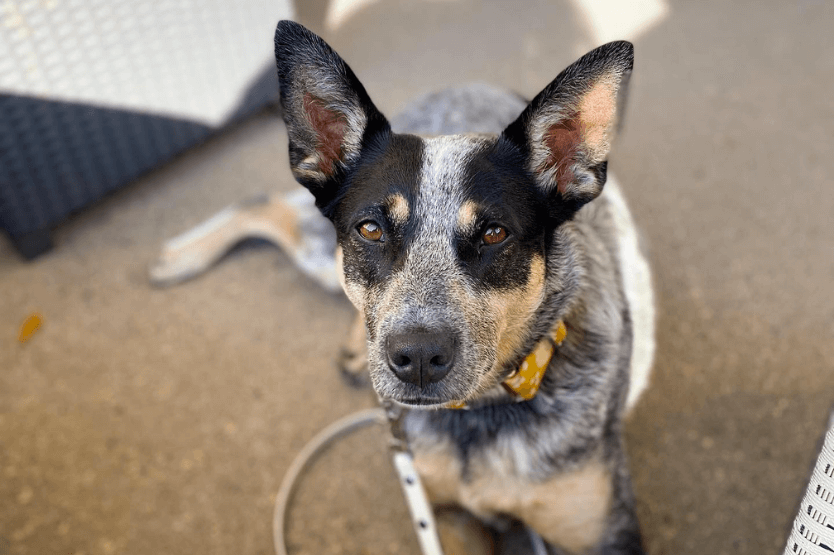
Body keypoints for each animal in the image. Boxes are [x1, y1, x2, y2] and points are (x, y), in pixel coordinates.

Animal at [276, 19, 652, 552]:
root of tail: (461, 84)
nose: (416, 357)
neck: (478, 412)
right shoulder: (446, 516)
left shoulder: (601, 533)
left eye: (494, 233)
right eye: (370, 229)